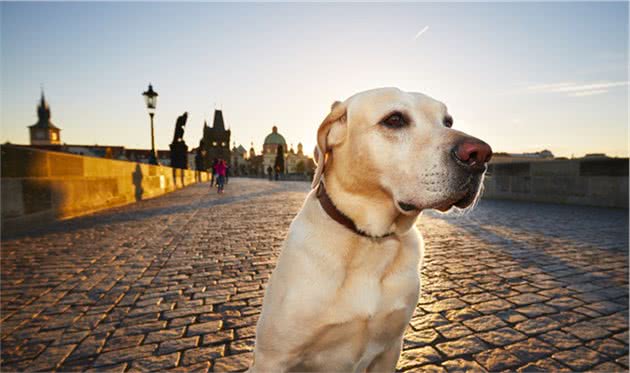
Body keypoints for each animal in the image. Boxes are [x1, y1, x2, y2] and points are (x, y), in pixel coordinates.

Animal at [252, 88, 494, 372]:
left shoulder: (390, 349)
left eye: (448, 121)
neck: (370, 239)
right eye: (394, 119)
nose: (480, 154)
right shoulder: (272, 358)